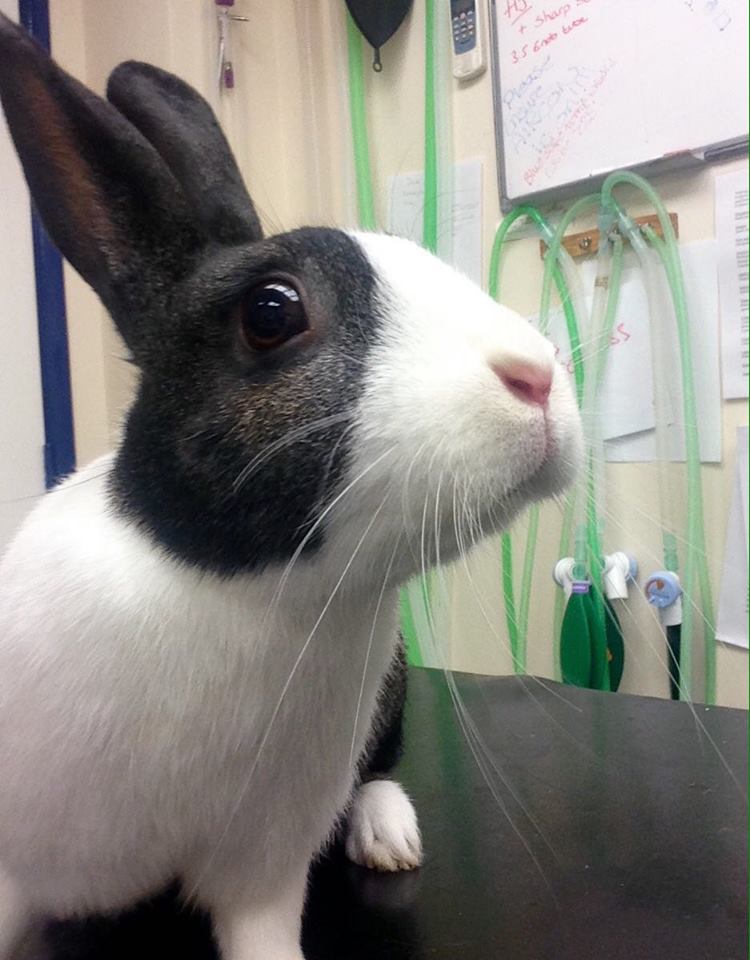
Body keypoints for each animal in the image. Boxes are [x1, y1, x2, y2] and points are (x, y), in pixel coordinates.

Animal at [0, 12, 582, 960]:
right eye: (271, 312)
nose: (538, 376)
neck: (246, 591)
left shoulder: (264, 865)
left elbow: (265, 935)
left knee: (378, 771)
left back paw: (388, 833)